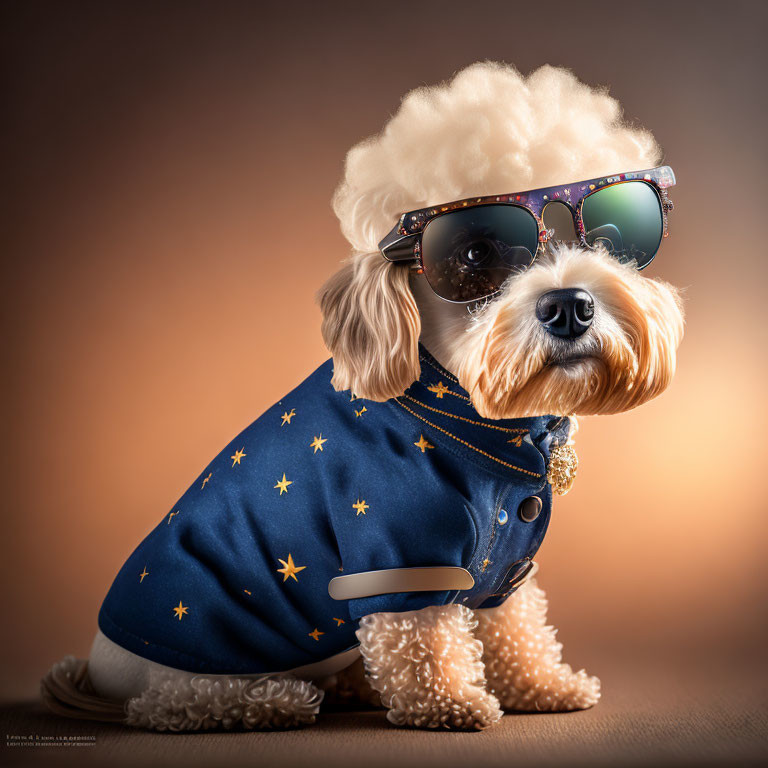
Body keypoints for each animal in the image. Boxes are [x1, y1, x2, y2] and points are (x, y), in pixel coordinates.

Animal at [40, 63, 684, 728]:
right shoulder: (400, 556)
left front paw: (542, 684)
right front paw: (450, 703)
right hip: (193, 656)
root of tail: (95, 667)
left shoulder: (506, 566)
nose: (570, 306)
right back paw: (277, 700)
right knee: (170, 704)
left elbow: (517, 628)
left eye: (609, 235)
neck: (463, 418)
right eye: (475, 255)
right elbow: (424, 645)